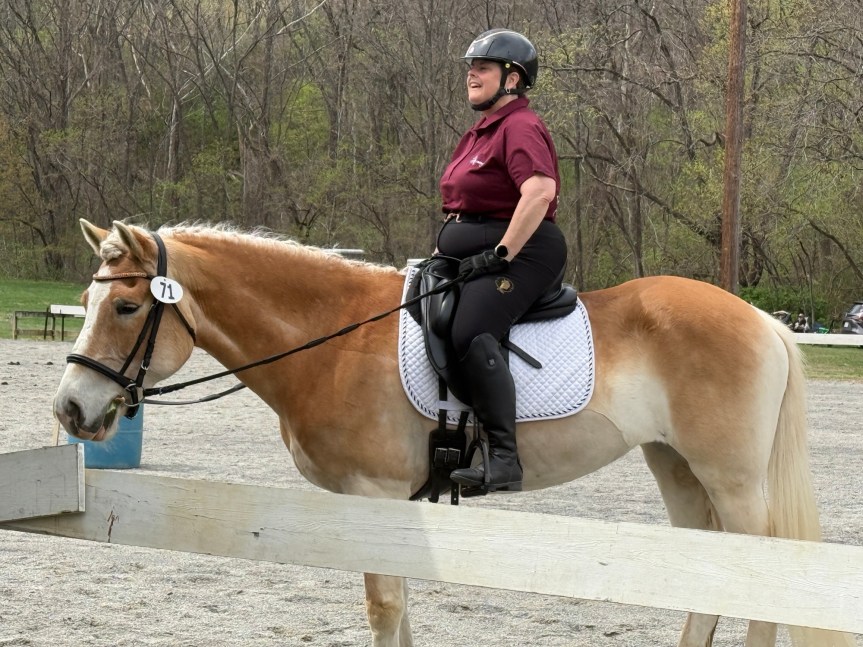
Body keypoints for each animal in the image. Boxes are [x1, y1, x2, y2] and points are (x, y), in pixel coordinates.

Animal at [53, 219, 855, 647]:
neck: (333, 338)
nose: (69, 410)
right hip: (677, 468)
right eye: (89, 300)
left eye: (126, 306)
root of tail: (759, 319)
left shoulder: (373, 495)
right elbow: (399, 607)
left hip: (732, 478)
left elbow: (384, 608)